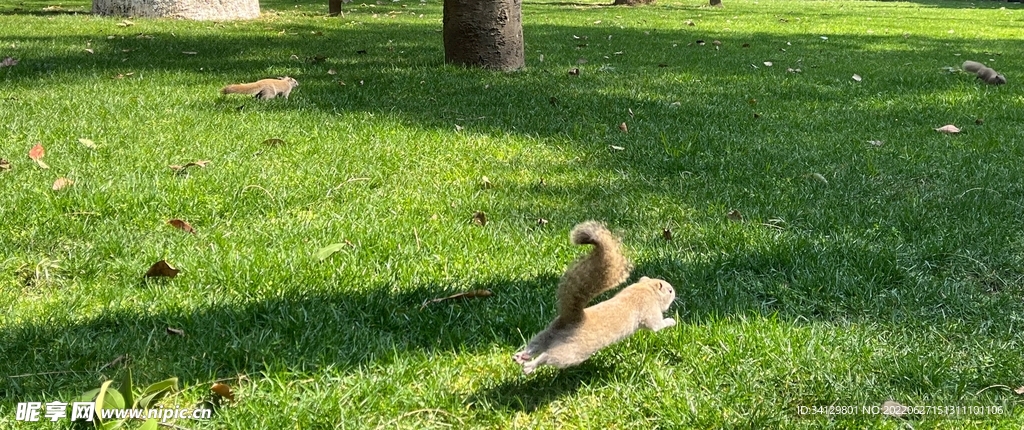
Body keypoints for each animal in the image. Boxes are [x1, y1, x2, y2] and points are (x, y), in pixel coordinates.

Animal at [512, 223, 679, 374]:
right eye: (670, 290)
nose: (675, 293)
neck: (645, 289)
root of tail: (574, 318)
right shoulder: (650, 311)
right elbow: (657, 326)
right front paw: (671, 321)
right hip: (571, 350)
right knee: (547, 356)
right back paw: (530, 366)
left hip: (551, 331)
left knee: (536, 344)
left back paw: (521, 356)